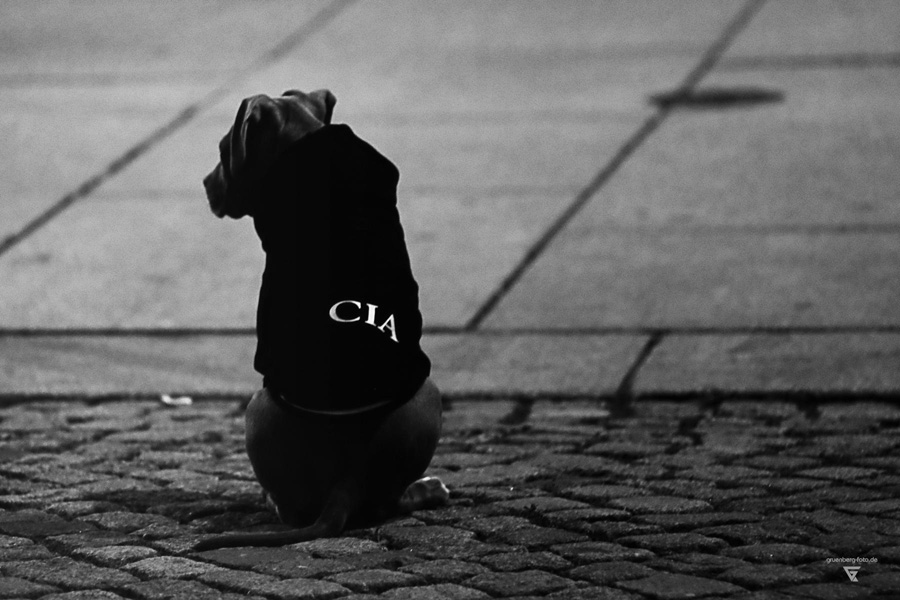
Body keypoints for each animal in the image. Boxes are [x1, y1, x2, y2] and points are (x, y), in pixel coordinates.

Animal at [195, 89, 448, 550]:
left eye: (224, 150)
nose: (206, 184)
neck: (304, 141)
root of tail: (348, 479)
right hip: (428, 394)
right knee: (387, 503)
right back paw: (425, 489)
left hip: (258, 406)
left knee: (295, 510)